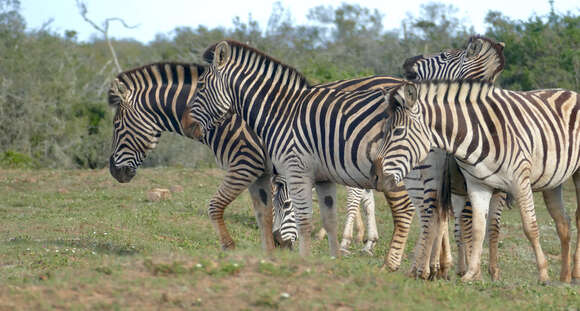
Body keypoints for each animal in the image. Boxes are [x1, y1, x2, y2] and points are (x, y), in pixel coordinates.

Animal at [376, 81, 580, 286]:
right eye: (383, 131)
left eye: (398, 131)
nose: (379, 176)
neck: (479, 133)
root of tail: (571, 92)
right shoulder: (478, 185)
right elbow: (477, 230)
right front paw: (471, 273)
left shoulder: (519, 182)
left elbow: (529, 227)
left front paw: (543, 274)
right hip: (553, 181)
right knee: (563, 222)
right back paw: (564, 276)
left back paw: (575, 274)